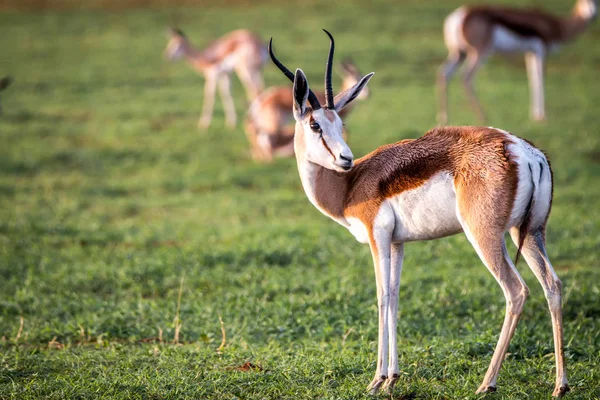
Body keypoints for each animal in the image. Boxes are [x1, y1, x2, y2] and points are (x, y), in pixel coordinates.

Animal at [270, 30, 568, 396]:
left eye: (338, 122)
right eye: (315, 124)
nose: (345, 159)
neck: (349, 186)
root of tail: (523, 151)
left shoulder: (377, 238)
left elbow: (382, 297)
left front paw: (376, 380)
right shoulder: (398, 243)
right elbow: (396, 297)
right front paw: (392, 378)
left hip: (485, 235)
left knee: (516, 291)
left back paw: (486, 384)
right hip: (530, 232)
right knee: (553, 285)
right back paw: (560, 385)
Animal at [438, 0, 596, 124]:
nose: (593, 14)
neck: (557, 25)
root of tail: (457, 18)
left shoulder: (530, 52)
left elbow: (532, 78)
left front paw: (534, 115)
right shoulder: (541, 51)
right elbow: (540, 80)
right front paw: (542, 117)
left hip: (459, 53)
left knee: (444, 73)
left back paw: (444, 119)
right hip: (480, 52)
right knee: (466, 77)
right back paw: (483, 117)